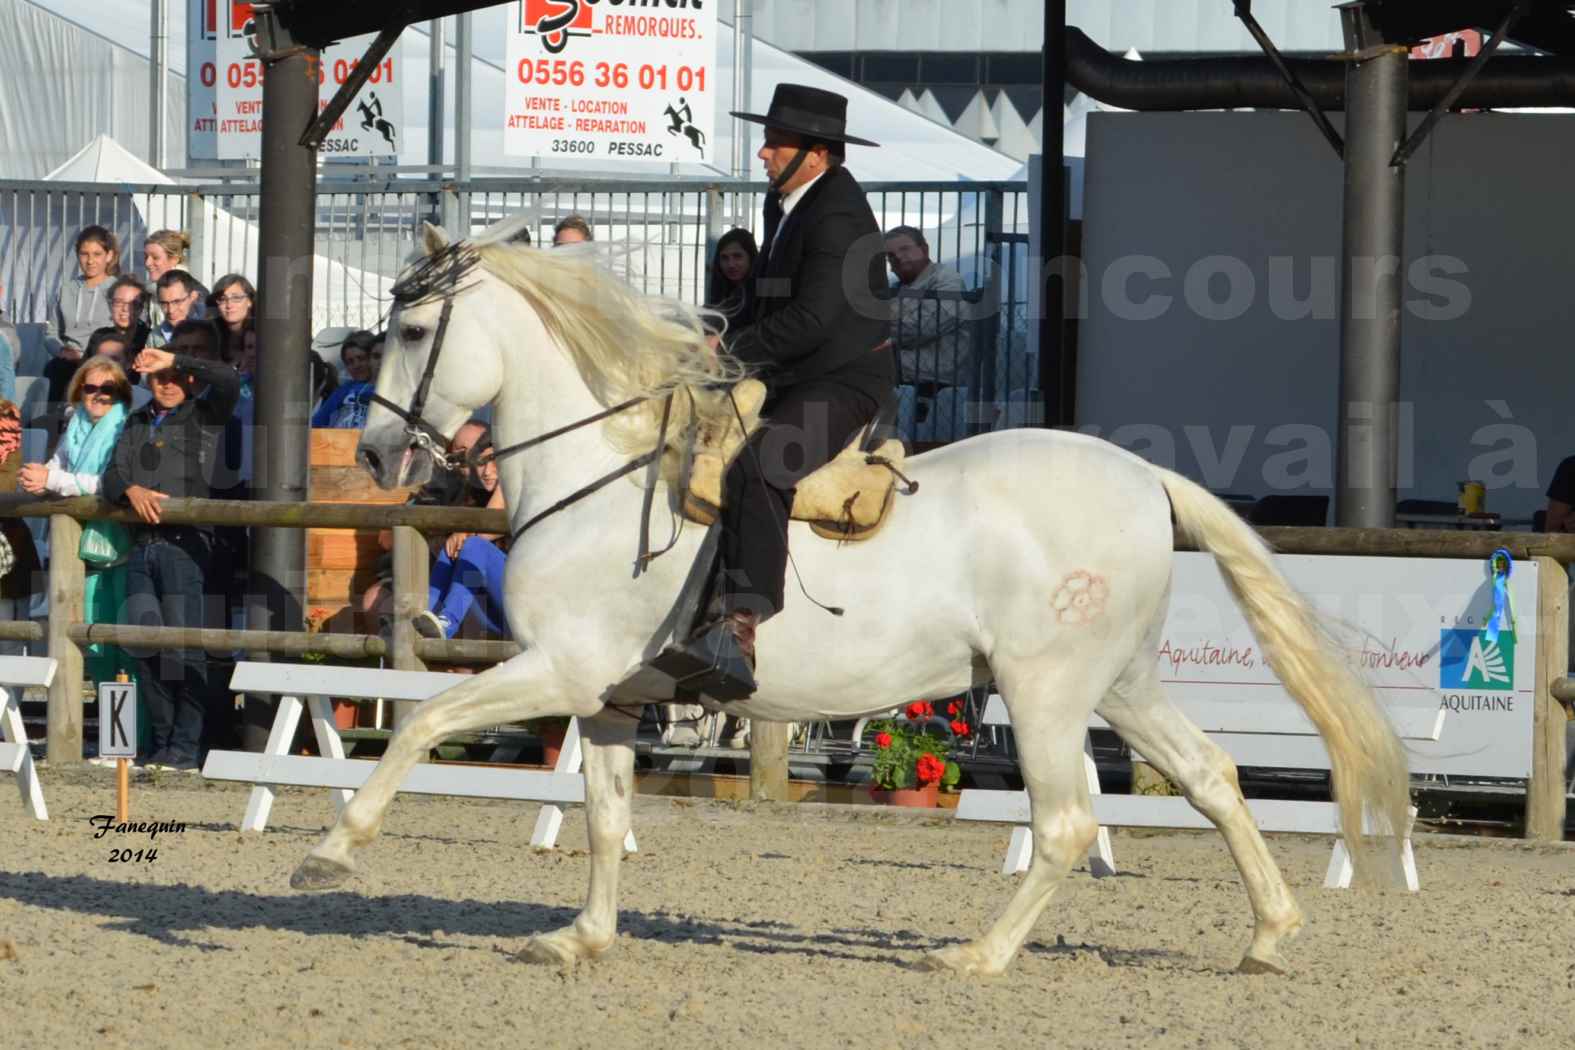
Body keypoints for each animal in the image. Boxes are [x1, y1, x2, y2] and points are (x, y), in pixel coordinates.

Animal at [296, 223, 1417, 976]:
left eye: (413, 328)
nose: (376, 454)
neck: (601, 472)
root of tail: (1144, 477)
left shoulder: (559, 670)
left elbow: (424, 720)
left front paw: (332, 853)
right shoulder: (608, 695)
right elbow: (606, 821)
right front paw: (583, 937)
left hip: (1046, 691)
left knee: (1064, 821)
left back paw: (977, 957)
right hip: (1120, 685)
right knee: (1211, 776)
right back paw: (1268, 935)